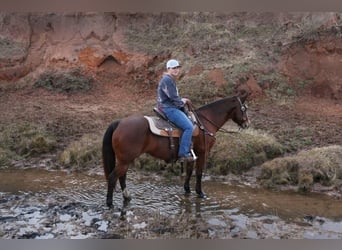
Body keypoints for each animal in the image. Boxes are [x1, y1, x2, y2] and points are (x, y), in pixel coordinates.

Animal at [100, 90, 250, 207]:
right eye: (244, 108)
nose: (247, 124)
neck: (205, 122)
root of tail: (119, 122)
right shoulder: (203, 152)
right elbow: (199, 173)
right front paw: (200, 193)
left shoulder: (191, 154)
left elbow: (189, 172)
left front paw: (187, 190)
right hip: (125, 160)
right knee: (113, 177)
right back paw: (110, 203)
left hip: (124, 160)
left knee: (122, 176)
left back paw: (127, 197)